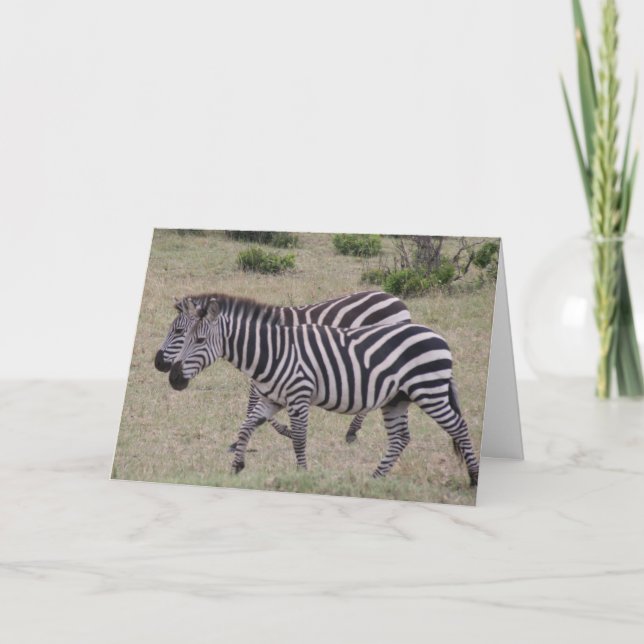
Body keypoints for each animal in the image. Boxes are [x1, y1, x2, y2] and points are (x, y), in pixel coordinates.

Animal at [155, 290, 412, 447]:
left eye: (179, 332)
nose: (158, 363)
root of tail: (397, 300)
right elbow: (259, 403)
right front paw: (279, 429)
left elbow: (253, 402)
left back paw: (352, 431)